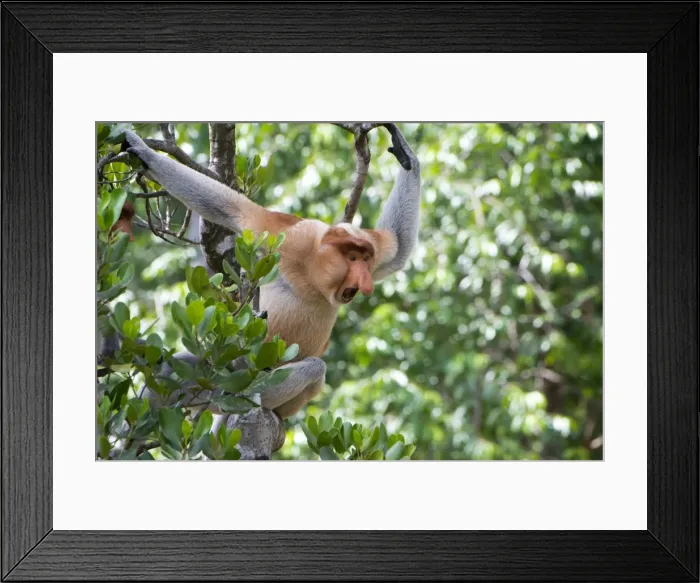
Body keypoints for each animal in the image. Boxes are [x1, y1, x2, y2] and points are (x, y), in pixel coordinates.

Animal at [123, 123, 420, 421]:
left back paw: (242, 395)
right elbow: (233, 209)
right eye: (353, 258)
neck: (314, 279)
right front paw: (144, 152)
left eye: (366, 260)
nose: (366, 280)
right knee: (173, 366)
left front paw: (407, 157)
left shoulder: (369, 244)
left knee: (315, 368)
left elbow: (396, 247)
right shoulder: (293, 237)